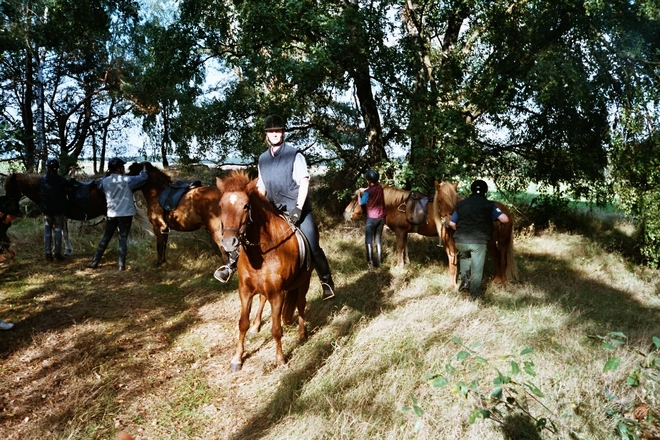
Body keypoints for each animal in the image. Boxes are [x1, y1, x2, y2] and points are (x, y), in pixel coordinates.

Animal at [215, 171, 310, 372]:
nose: (228, 242)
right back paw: (256, 326)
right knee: (262, 299)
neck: (262, 251)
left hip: (303, 282)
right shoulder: (245, 290)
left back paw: (301, 333)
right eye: (220, 206)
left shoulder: (278, 294)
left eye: (246, 206)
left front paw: (280, 359)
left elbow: (276, 329)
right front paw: (237, 358)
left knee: (300, 303)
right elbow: (242, 323)